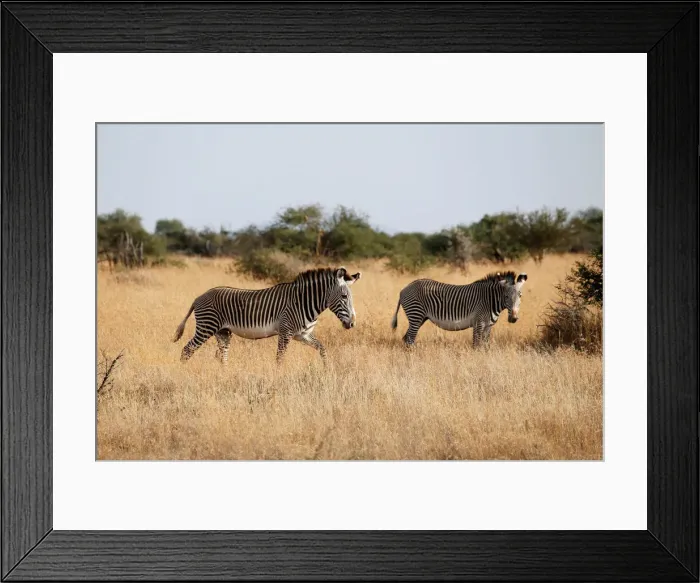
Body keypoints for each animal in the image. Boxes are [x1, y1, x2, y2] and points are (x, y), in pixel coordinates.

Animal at [173, 267, 361, 364]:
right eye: (344, 297)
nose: (352, 324)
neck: (303, 301)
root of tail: (199, 297)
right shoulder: (286, 332)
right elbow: (279, 359)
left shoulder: (303, 335)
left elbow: (323, 349)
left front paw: (326, 370)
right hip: (207, 326)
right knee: (187, 350)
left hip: (223, 332)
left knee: (222, 357)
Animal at [390, 271, 528, 348]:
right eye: (506, 296)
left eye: (520, 295)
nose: (513, 319)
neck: (490, 300)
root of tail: (405, 288)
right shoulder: (478, 323)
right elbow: (476, 345)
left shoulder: (488, 326)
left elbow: (485, 346)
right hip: (416, 314)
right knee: (410, 339)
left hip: (420, 318)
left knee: (406, 338)